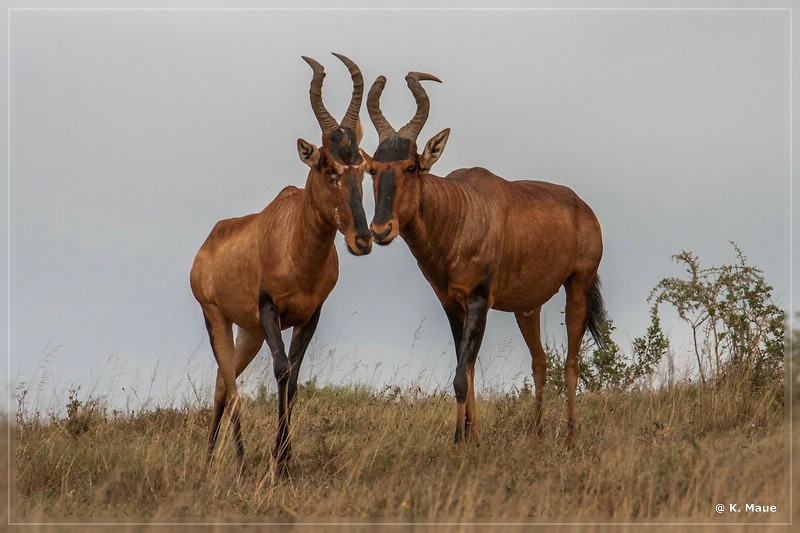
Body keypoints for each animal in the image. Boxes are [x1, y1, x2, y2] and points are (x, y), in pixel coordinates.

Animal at [190, 54, 372, 470]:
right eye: (328, 167)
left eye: (361, 167)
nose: (362, 239)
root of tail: (208, 243)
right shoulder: (269, 309)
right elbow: (282, 370)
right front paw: (279, 459)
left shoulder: (310, 315)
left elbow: (296, 377)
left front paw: (284, 459)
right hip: (216, 318)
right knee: (230, 384)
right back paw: (237, 463)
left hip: (249, 331)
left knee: (223, 383)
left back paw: (209, 463)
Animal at [362, 70, 608, 444]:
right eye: (373, 168)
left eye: (412, 166)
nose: (380, 229)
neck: (460, 209)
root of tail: (584, 208)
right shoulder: (451, 304)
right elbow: (467, 371)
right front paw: (470, 438)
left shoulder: (480, 300)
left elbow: (461, 376)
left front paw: (461, 442)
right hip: (527, 306)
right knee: (540, 362)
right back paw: (537, 436)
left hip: (578, 285)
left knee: (571, 362)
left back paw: (569, 439)